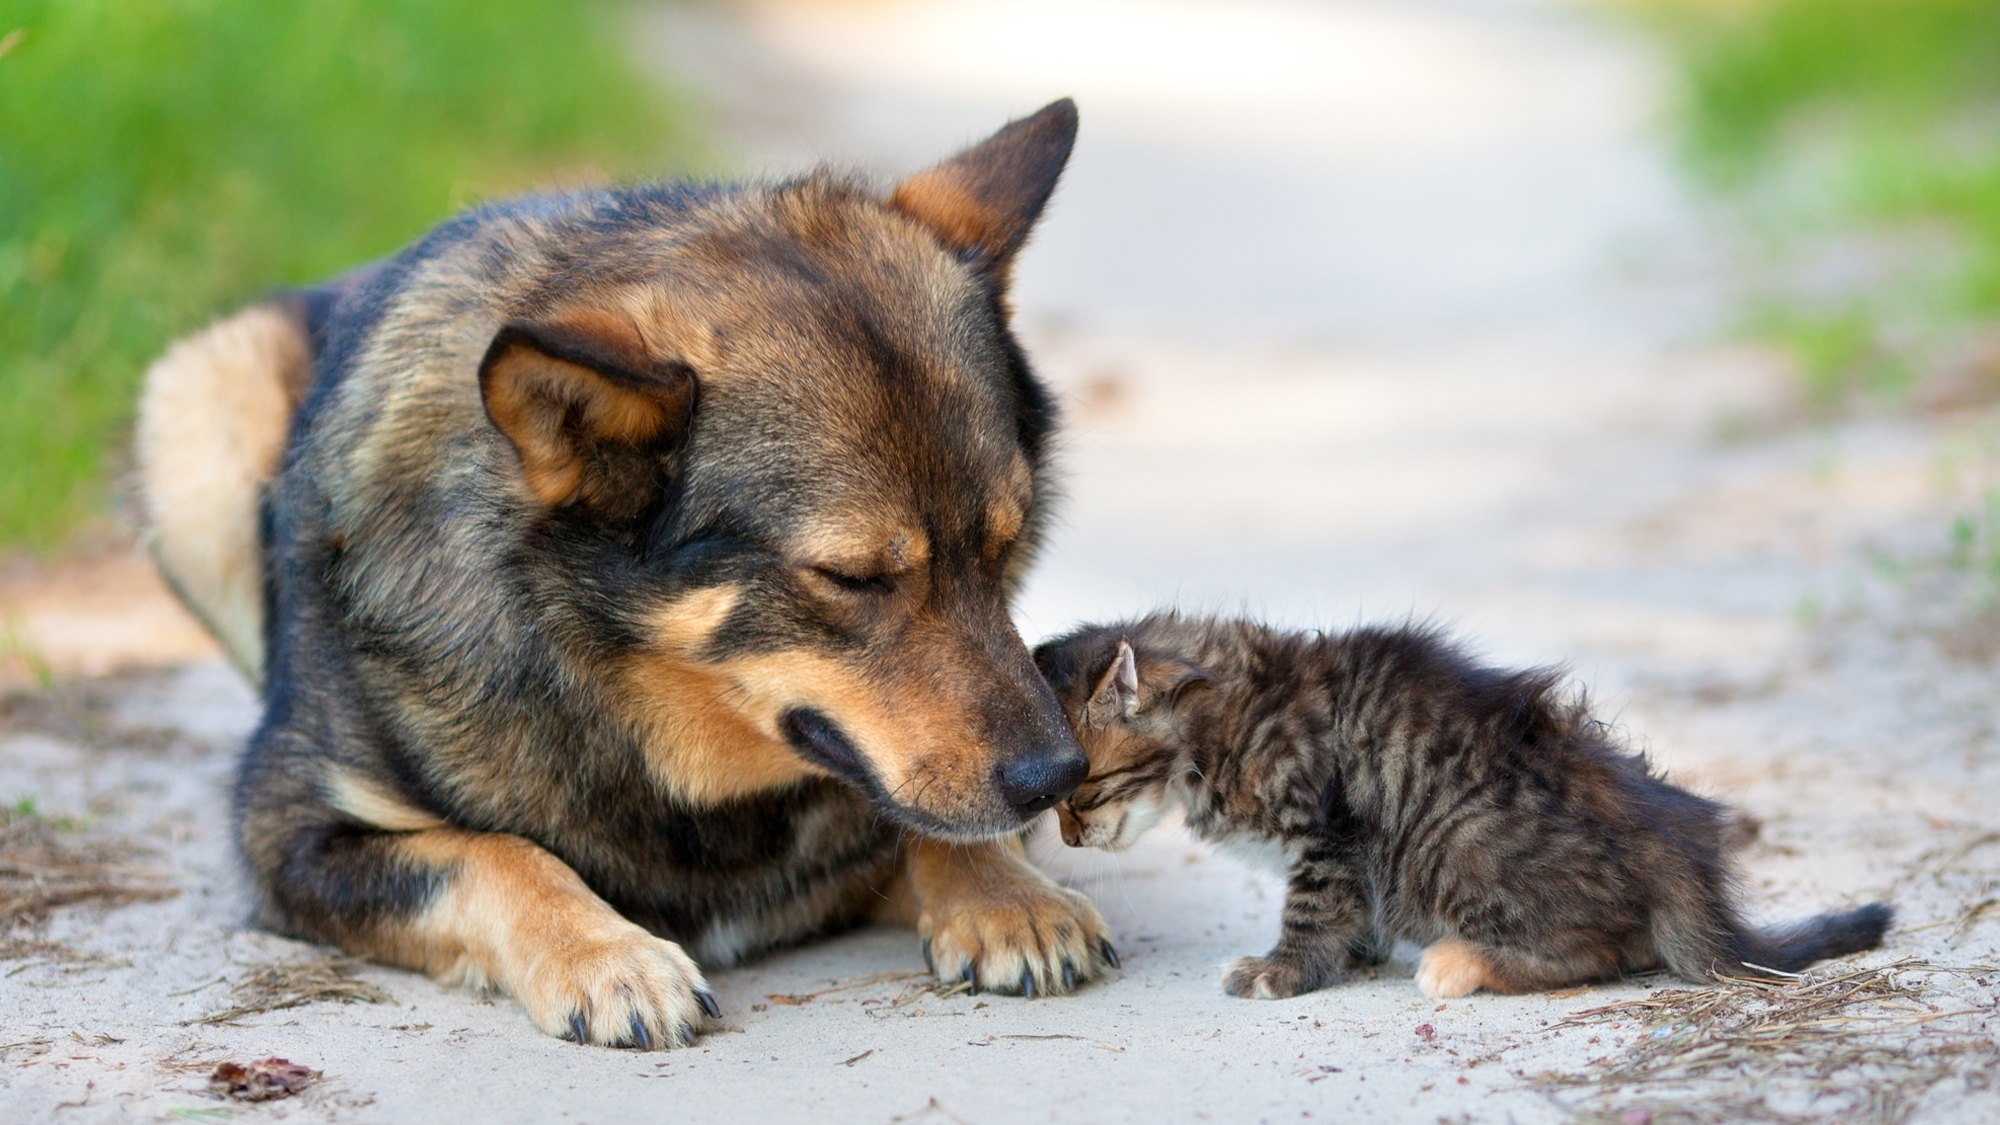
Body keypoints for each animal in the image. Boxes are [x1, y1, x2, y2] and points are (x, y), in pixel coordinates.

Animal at [133, 100, 1120, 1048]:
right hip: (197, 397)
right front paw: (605, 954)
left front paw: (1007, 895)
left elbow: (924, 821)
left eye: (1006, 543)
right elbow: (491, 852)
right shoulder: (291, 836)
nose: (1056, 776)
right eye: (851, 578)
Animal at [1032, 612, 1888, 996]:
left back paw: (1460, 960)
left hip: (1455, 843)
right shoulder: (1345, 853)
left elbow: (1310, 908)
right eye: (1052, 804)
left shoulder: (1329, 831)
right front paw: (1357, 952)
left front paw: (1282, 969)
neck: (1223, 715)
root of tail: (1674, 841)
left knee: (1603, 948)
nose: (1069, 842)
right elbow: (1350, 911)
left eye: (1083, 792)